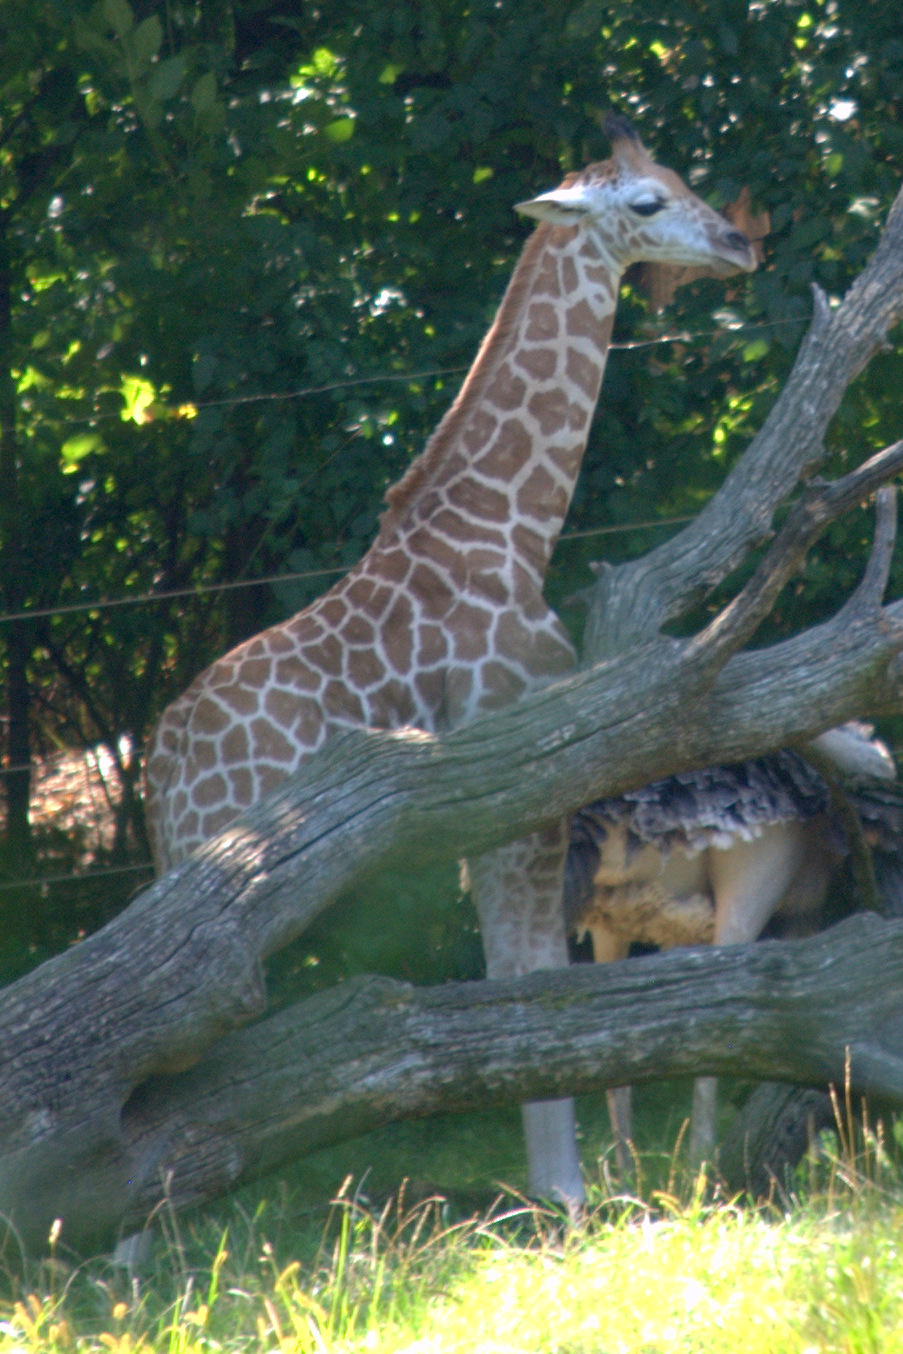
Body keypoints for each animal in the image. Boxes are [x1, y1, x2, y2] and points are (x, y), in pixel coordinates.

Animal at [144, 114, 756, 1205]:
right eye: (646, 202)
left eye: (682, 176)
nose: (736, 243)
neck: (515, 527)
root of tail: (159, 773)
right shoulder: (518, 796)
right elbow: (527, 981)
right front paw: (567, 1200)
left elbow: (517, 979)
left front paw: (562, 1196)